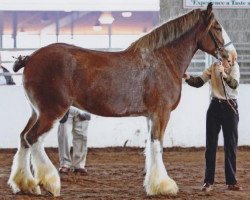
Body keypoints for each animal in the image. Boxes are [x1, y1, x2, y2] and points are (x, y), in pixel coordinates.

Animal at [8, 3, 236, 197]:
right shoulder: (161, 113)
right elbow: (158, 145)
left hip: (36, 112)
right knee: (33, 139)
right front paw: (164, 186)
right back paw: (50, 183)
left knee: (23, 138)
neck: (163, 60)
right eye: (217, 27)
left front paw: (152, 184)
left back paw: (25, 184)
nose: (231, 57)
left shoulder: (150, 116)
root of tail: (31, 58)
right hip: (52, 111)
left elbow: (150, 145)